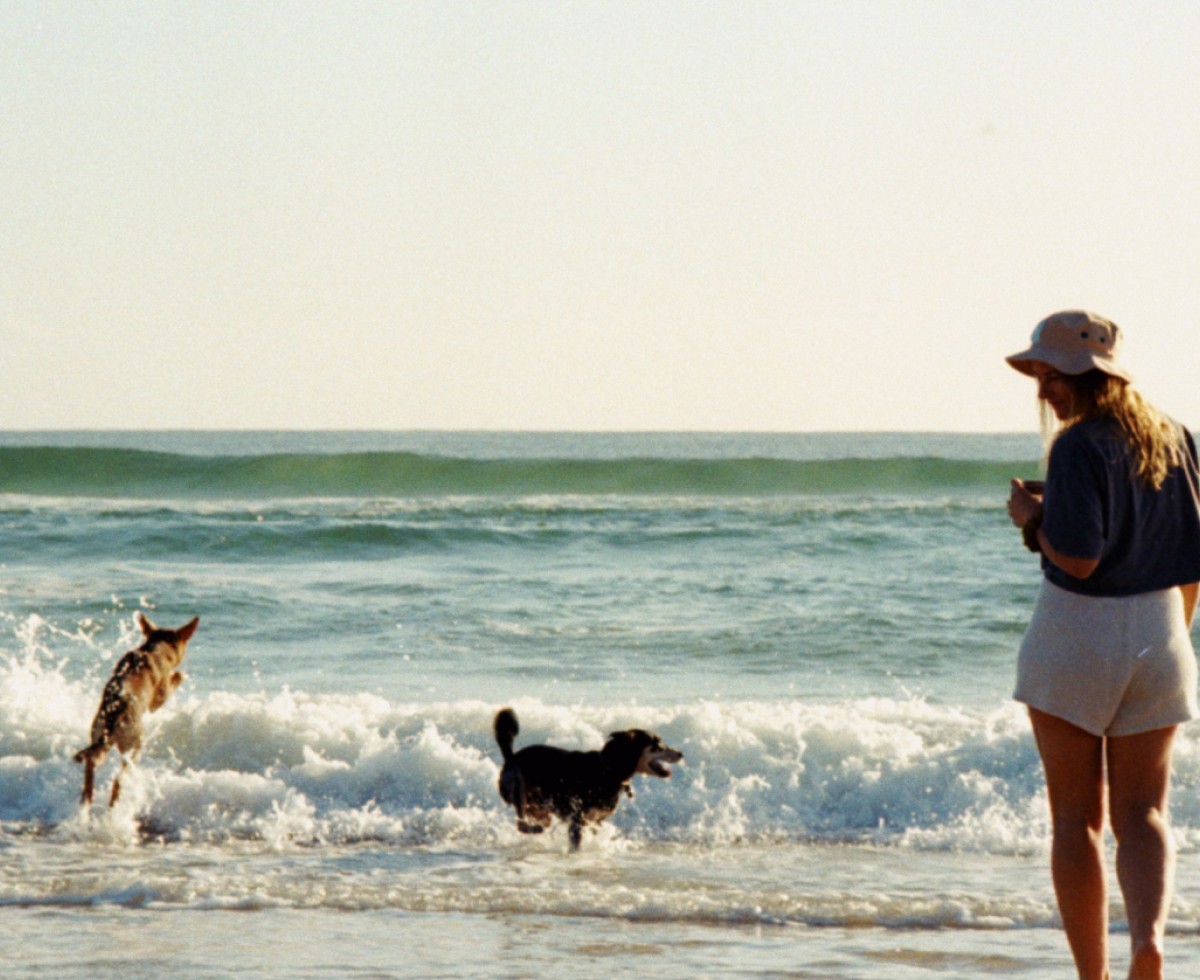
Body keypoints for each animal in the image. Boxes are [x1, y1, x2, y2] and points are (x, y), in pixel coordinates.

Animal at [72, 614, 198, 806]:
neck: (153, 649)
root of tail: (114, 715)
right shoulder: (158, 700)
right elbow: (177, 677)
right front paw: (179, 674)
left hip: (99, 740)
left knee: (90, 767)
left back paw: (87, 797)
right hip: (133, 749)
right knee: (118, 780)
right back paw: (114, 802)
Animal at [494, 705, 686, 849]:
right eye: (658, 744)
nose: (680, 754)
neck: (610, 770)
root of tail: (511, 757)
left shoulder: (594, 821)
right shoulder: (577, 820)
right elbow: (575, 844)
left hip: (540, 808)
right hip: (517, 788)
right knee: (521, 823)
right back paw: (535, 828)